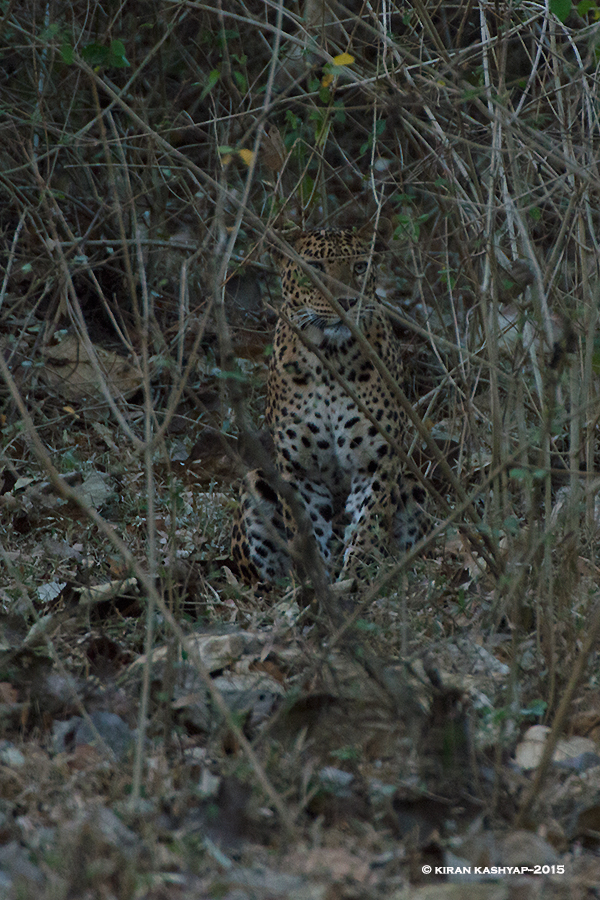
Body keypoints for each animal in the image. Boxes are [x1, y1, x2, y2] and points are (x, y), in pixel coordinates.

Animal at [230, 218, 422, 584]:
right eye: (315, 269)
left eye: (360, 267)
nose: (345, 302)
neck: (331, 359)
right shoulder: (299, 469)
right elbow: (304, 529)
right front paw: (313, 583)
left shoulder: (377, 460)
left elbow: (369, 524)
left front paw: (358, 578)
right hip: (255, 484)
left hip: (413, 483)